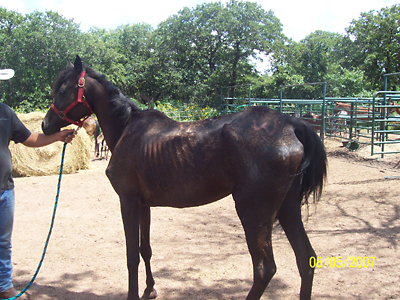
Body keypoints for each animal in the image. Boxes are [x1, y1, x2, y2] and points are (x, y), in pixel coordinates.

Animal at [42, 56, 326, 300]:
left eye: (62, 90)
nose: (45, 125)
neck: (127, 129)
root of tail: (290, 124)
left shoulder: (128, 201)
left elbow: (131, 254)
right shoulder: (144, 205)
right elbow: (145, 249)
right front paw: (150, 289)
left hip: (254, 213)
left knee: (264, 269)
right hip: (288, 208)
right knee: (306, 260)